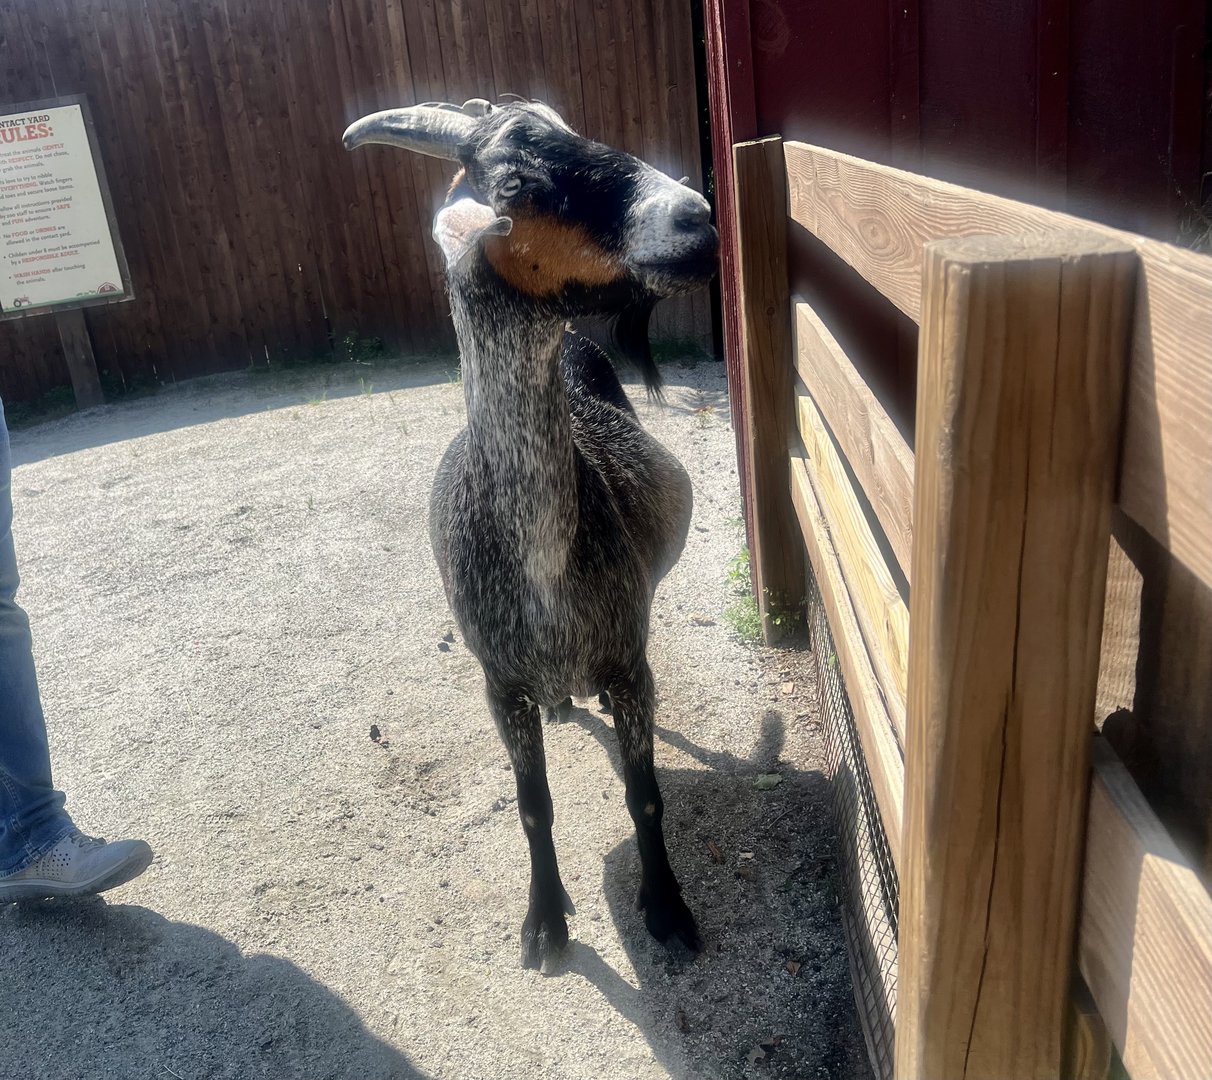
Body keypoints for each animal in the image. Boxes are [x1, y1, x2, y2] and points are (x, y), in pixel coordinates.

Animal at [343, 98, 717, 969]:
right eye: (515, 180)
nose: (696, 218)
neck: (542, 566)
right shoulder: (499, 682)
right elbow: (532, 806)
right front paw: (544, 924)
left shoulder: (630, 663)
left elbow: (645, 798)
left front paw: (666, 907)